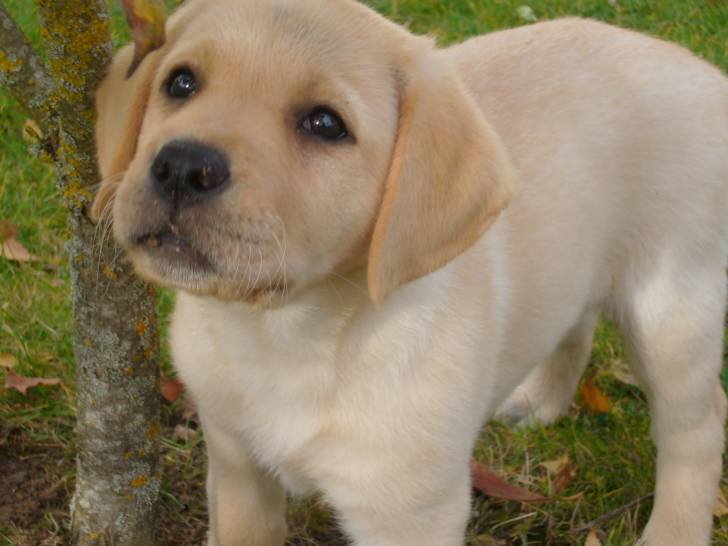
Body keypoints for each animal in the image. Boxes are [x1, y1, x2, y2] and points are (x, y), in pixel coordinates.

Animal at [94, 2, 728, 540]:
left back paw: (673, 532)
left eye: (325, 124)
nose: (182, 166)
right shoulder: (234, 466)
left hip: (671, 307)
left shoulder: (409, 512)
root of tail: (704, 72)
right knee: (577, 321)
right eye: (180, 83)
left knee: (697, 428)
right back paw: (541, 401)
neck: (288, 335)